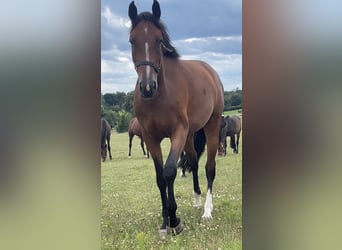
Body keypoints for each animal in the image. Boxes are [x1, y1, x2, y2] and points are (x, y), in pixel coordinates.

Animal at [128, 0, 224, 238]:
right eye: (132, 40)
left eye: (159, 40)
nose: (147, 87)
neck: (159, 96)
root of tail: (210, 71)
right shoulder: (151, 138)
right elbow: (160, 177)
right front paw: (165, 221)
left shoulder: (177, 133)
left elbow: (170, 170)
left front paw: (174, 219)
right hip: (190, 135)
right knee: (194, 163)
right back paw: (197, 200)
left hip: (212, 126)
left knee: (209, 167)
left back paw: (207, 210)